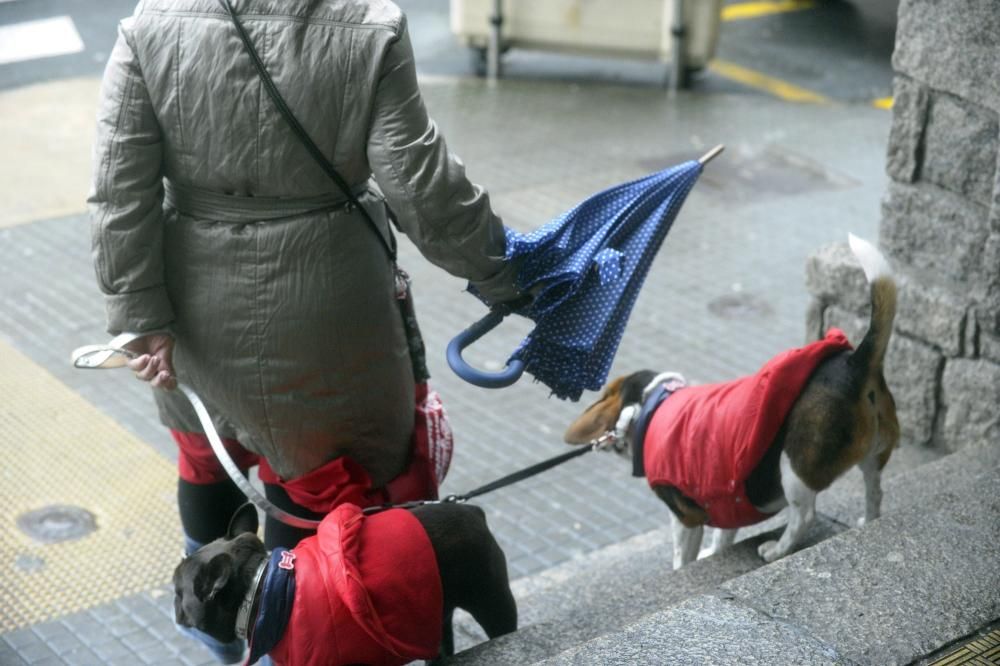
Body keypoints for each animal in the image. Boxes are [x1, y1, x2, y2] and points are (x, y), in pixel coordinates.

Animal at [564, 233, 900, 564]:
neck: (651, 404)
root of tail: (854, 364)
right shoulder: (725, 501)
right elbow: (723, 535)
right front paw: (716, 552)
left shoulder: (685, 517)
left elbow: (683, 556)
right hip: (874, 455)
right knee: (875, 491)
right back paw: (868, 520)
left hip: (793, 467)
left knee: (804, 516)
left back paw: (777, 549)